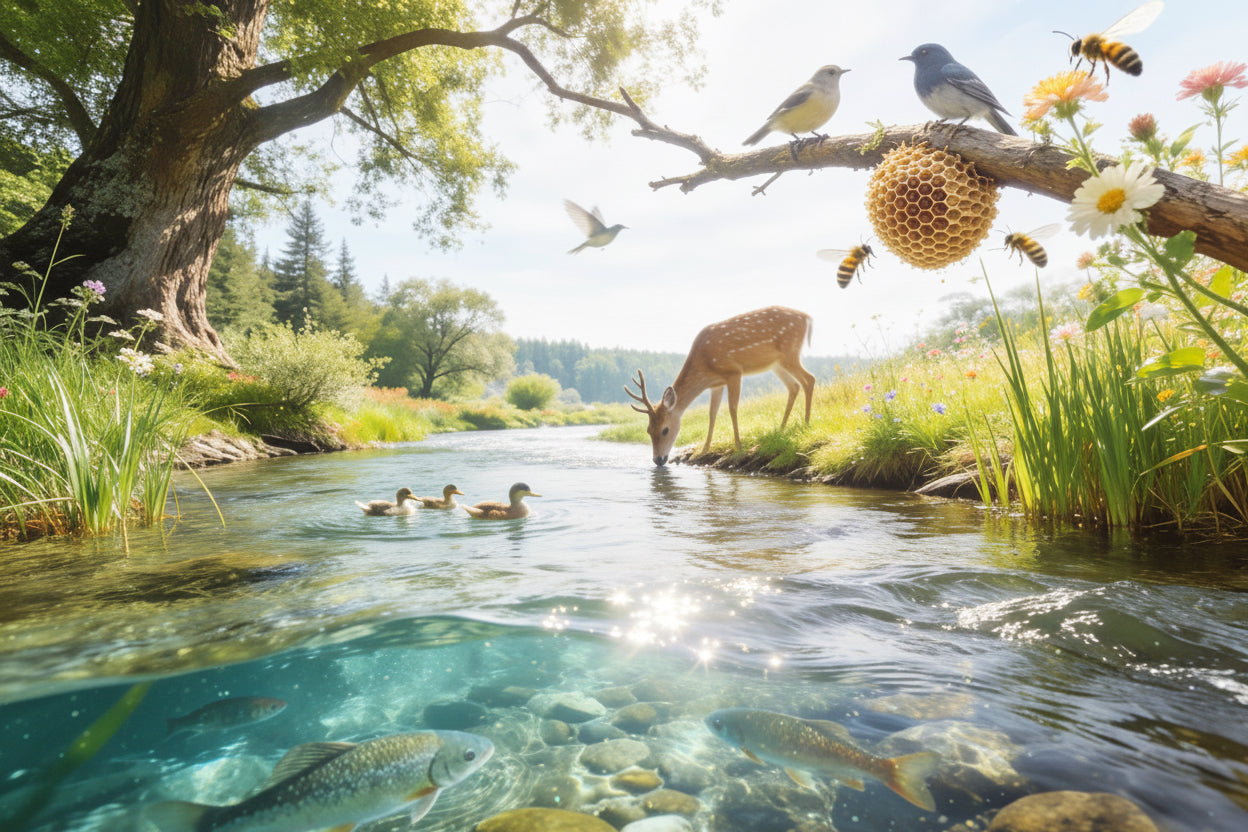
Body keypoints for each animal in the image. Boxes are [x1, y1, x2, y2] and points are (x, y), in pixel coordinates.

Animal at [625, 306, 816, 467]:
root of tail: (807, 318)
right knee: (794, 386)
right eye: (648, 430)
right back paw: (781, 429)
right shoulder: (716, 383)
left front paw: (739, 447)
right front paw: (704, 449)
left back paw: (806, 424)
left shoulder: (733, 371)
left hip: (789, 352)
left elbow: (732, 408)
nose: (658, 460)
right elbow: (712, 413)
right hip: (776, 364)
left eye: (665, 430)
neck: (705, 364)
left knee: (809, 379)